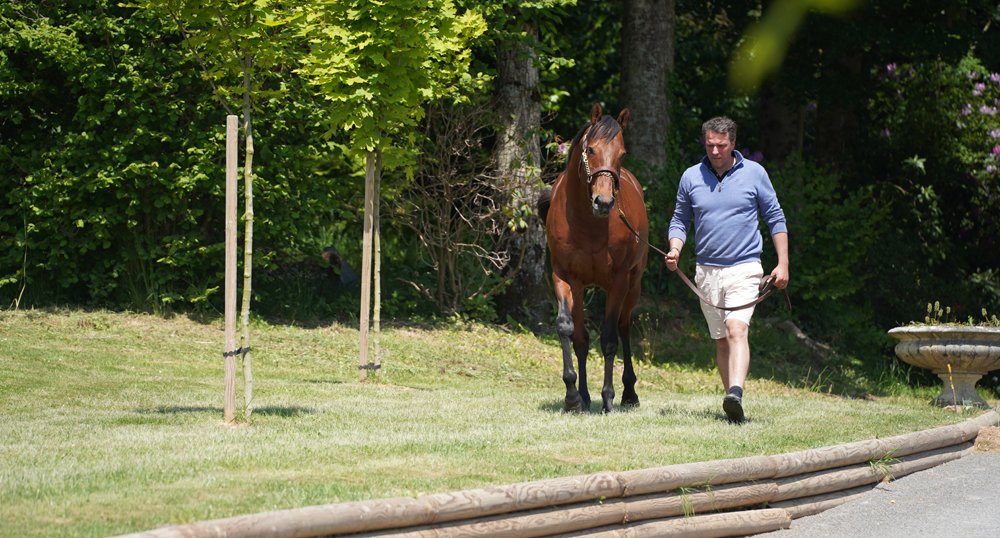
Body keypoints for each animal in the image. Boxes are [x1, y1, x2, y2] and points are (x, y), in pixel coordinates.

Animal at [538, 103, 649, 413]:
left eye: (622, 153)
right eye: (590, 150)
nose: (604, 202)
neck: (586, 223)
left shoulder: (619, 282)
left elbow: (610, 338)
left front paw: (608, 397)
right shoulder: (564, 277)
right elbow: (569, 331)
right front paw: (573, 397)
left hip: (633, 284)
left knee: (623, 328)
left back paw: (628, 393)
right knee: (582, 340)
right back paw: (585, 397)